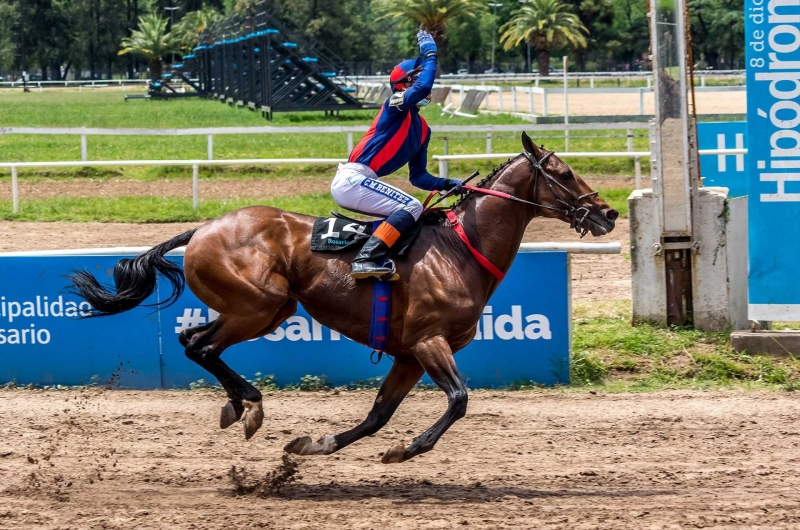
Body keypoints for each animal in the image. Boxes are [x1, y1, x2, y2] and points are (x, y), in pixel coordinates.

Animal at [69, 133, 620, 462]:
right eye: (565, 174)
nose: (608, 213)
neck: (460, 250)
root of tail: (203, 229)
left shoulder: (409, 355)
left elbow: (378, 416)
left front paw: (316, 444)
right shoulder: (428, 342)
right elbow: (460, 400)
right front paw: (409, 449)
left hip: (262, 310)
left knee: (192, 339)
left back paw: (237, 405)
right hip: (261, 305)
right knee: (201, 346)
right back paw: (250, 405)